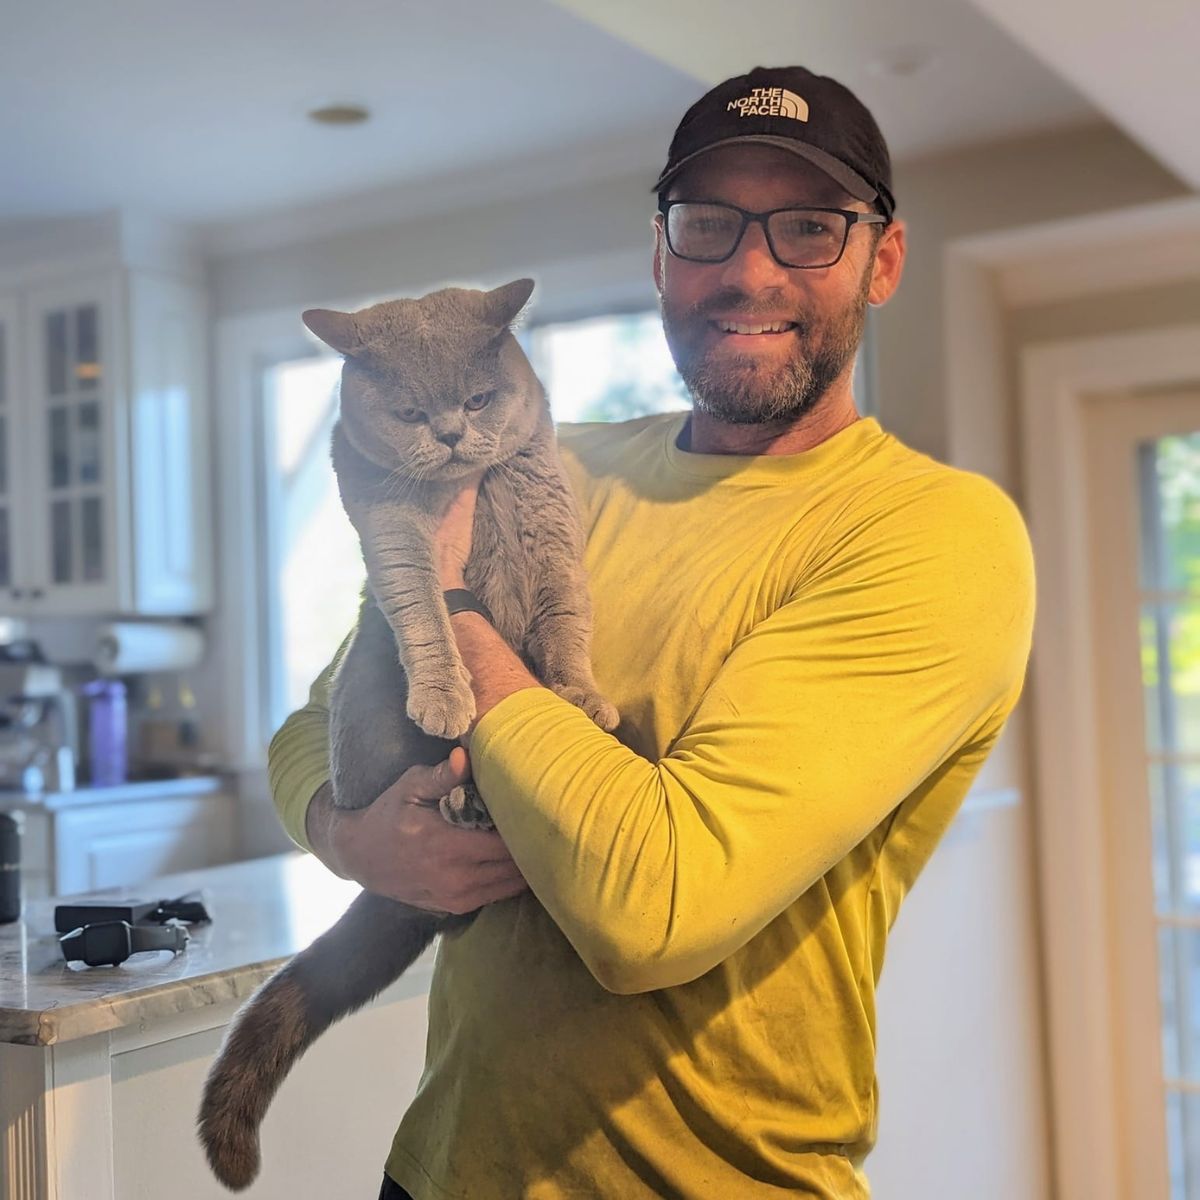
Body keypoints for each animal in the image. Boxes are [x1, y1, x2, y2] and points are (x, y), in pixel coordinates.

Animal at [196, 278, 619, 1190]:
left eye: (478, 398)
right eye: (409, 411)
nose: (453, 434)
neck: (469, 490)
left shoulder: (545, 508)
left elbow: (567, 612)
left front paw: (580, 694)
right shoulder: (387, 526)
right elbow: (424, 607)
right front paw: (446, 696)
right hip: (366, 688)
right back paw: (461, 794)